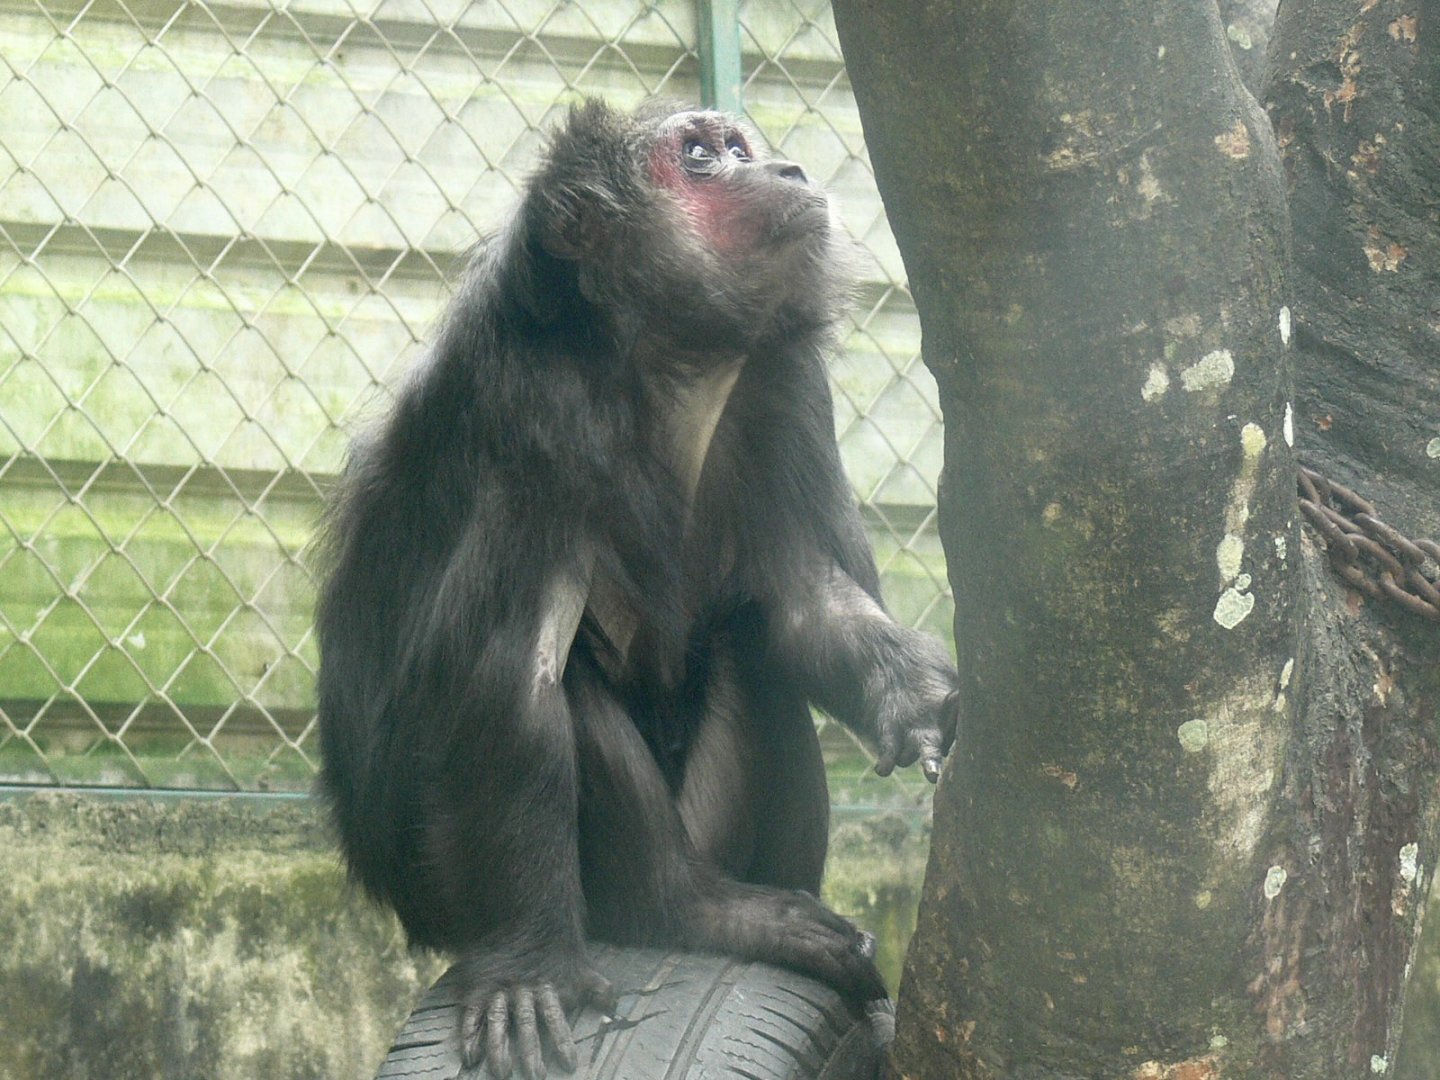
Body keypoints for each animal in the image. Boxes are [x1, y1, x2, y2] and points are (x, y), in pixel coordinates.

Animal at [316, 99, 959, 1078]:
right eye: (698, 156)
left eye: (739, 147)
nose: (786, 169)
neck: (665, 363)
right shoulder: (530, 410)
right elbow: (511, 684)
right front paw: (528, 967)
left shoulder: (781, 383)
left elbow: (807, 600)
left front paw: (913, 699)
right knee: (566, 691)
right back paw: (687, 909)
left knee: (747, 642)